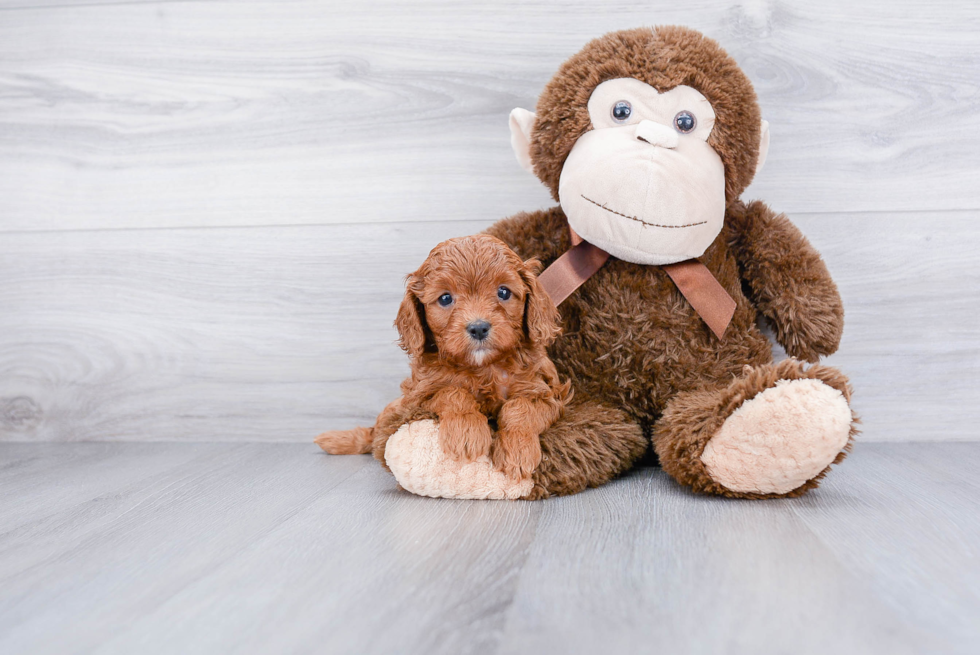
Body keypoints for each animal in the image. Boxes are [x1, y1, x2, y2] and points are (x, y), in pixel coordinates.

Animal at [318, 233, 572, 480]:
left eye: (503, 292)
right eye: (445, 298)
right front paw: (466, 433)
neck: (483, 367)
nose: (478, 328)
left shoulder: (546, 394)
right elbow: (453, 392)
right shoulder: (419, 397)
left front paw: (518, 452)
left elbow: (520, 408)